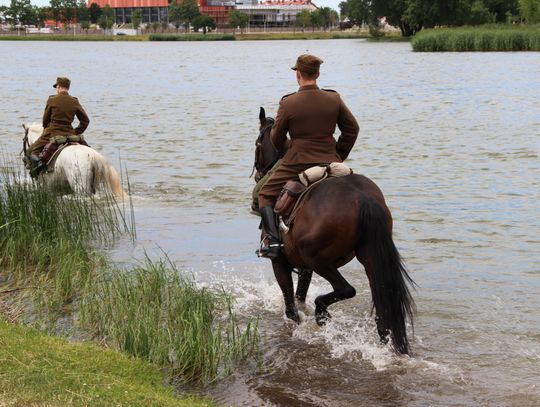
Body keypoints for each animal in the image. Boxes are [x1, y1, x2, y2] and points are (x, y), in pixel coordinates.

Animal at [255, 107, 416, 354]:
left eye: (257, 143)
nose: (258, 174)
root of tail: (362, 197)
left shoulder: (280, 262)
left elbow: (292, 309)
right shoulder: (303, 267)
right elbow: (300, 296)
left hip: (319, 260)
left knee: (346, 289)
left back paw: (322, 313)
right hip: (370, 260)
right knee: (382, 312)